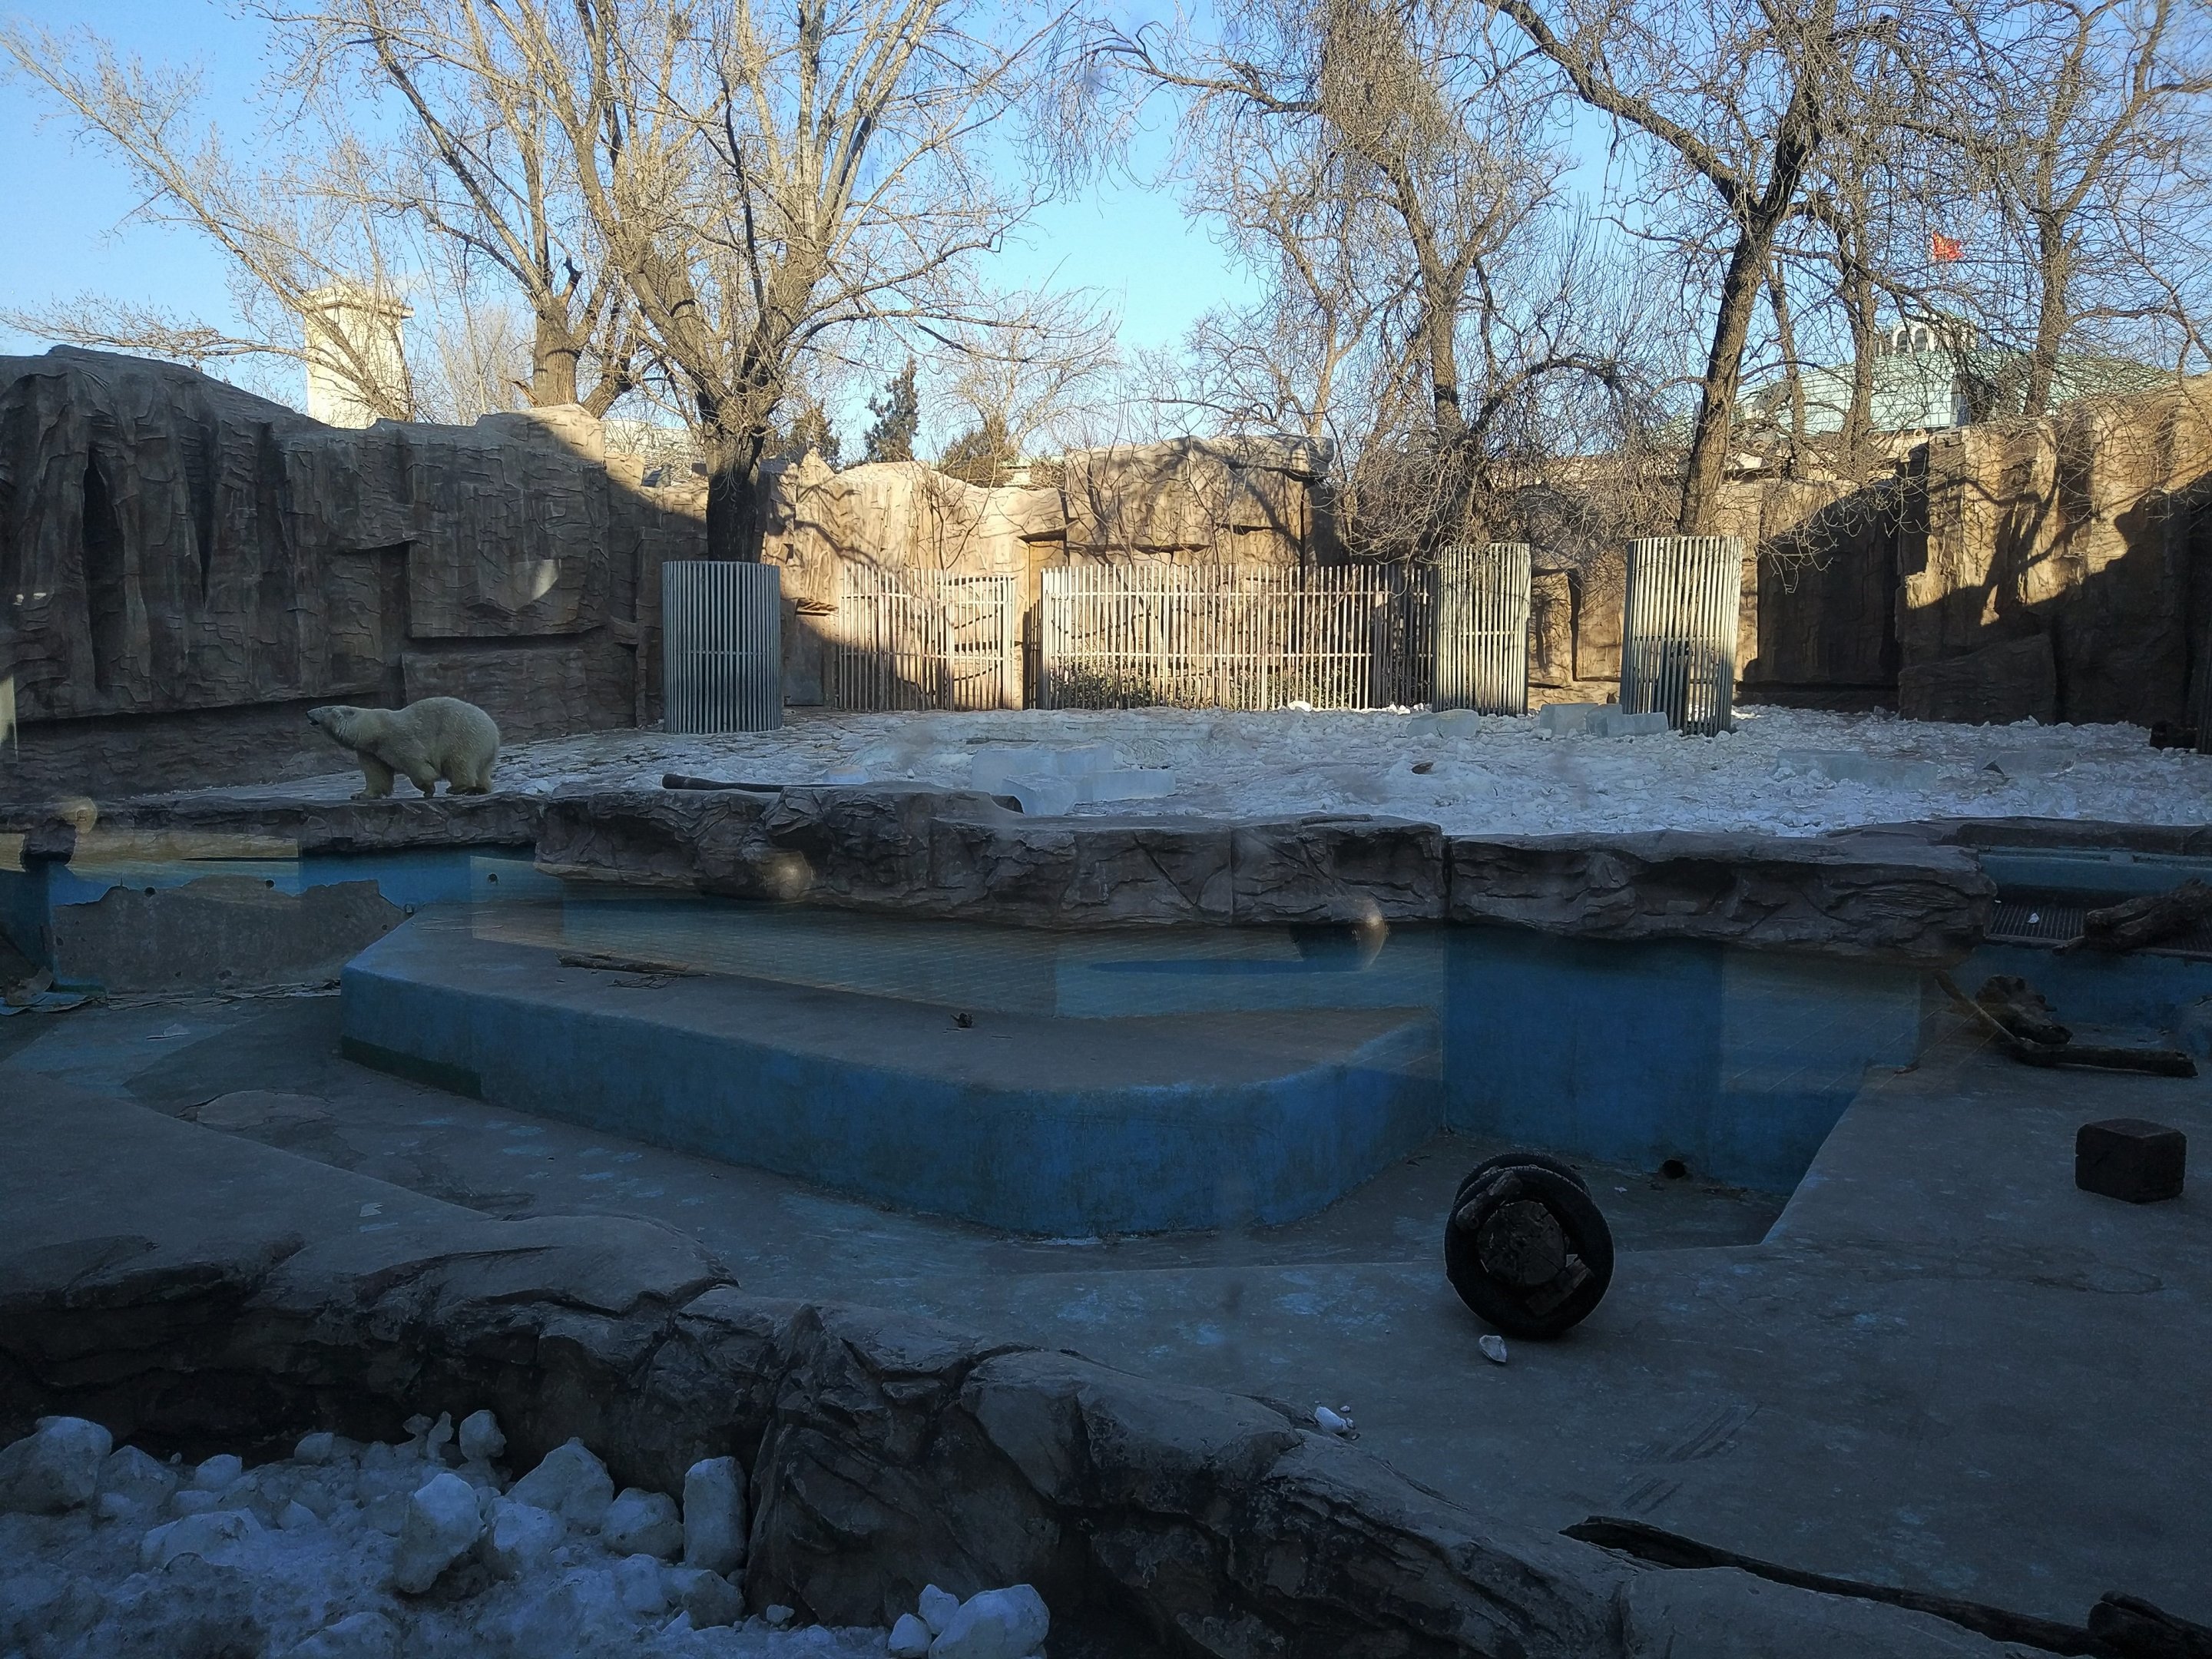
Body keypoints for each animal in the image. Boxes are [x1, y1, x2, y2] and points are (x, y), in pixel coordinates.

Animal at [307, 698, 501, 799]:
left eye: (323, 709)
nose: (308, 712)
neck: (374, 729)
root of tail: (493, 730)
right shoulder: (371, 752)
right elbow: (377, 775)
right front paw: (360, 794)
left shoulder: (397, 739)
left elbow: (416, 764)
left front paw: (428, 790)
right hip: (483, 748)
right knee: (482, 770)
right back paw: (479, 789)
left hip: (462, 734)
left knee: (458, 761)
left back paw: (458, 788)